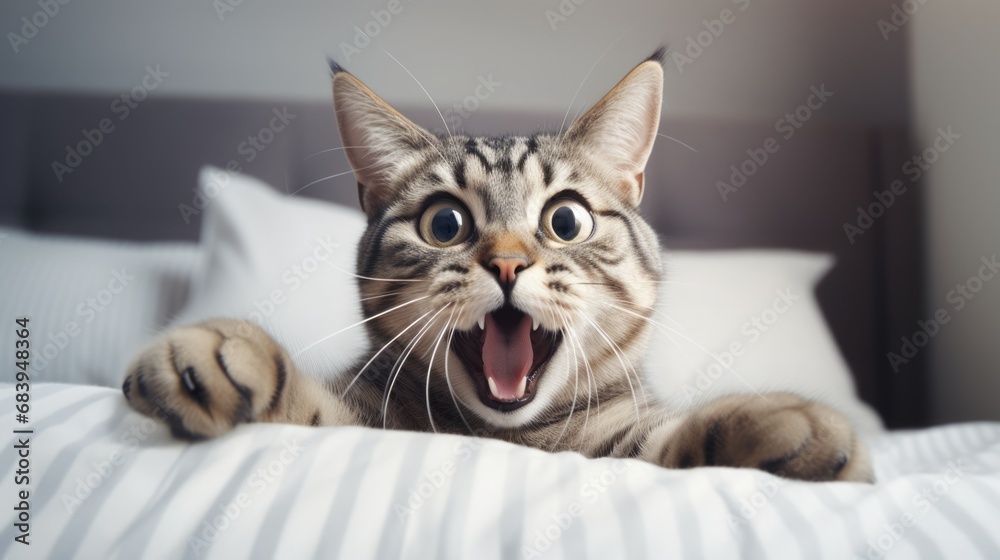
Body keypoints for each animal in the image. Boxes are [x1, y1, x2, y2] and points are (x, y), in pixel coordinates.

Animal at [123, 50, 876, 484]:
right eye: (445, 224)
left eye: (566, 221)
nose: (509, 264)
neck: (507, 435)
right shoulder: (357, 414)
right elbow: (315, 410)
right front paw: (228, 354)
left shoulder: (624, 435)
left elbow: (665, 439)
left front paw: (778, 423)